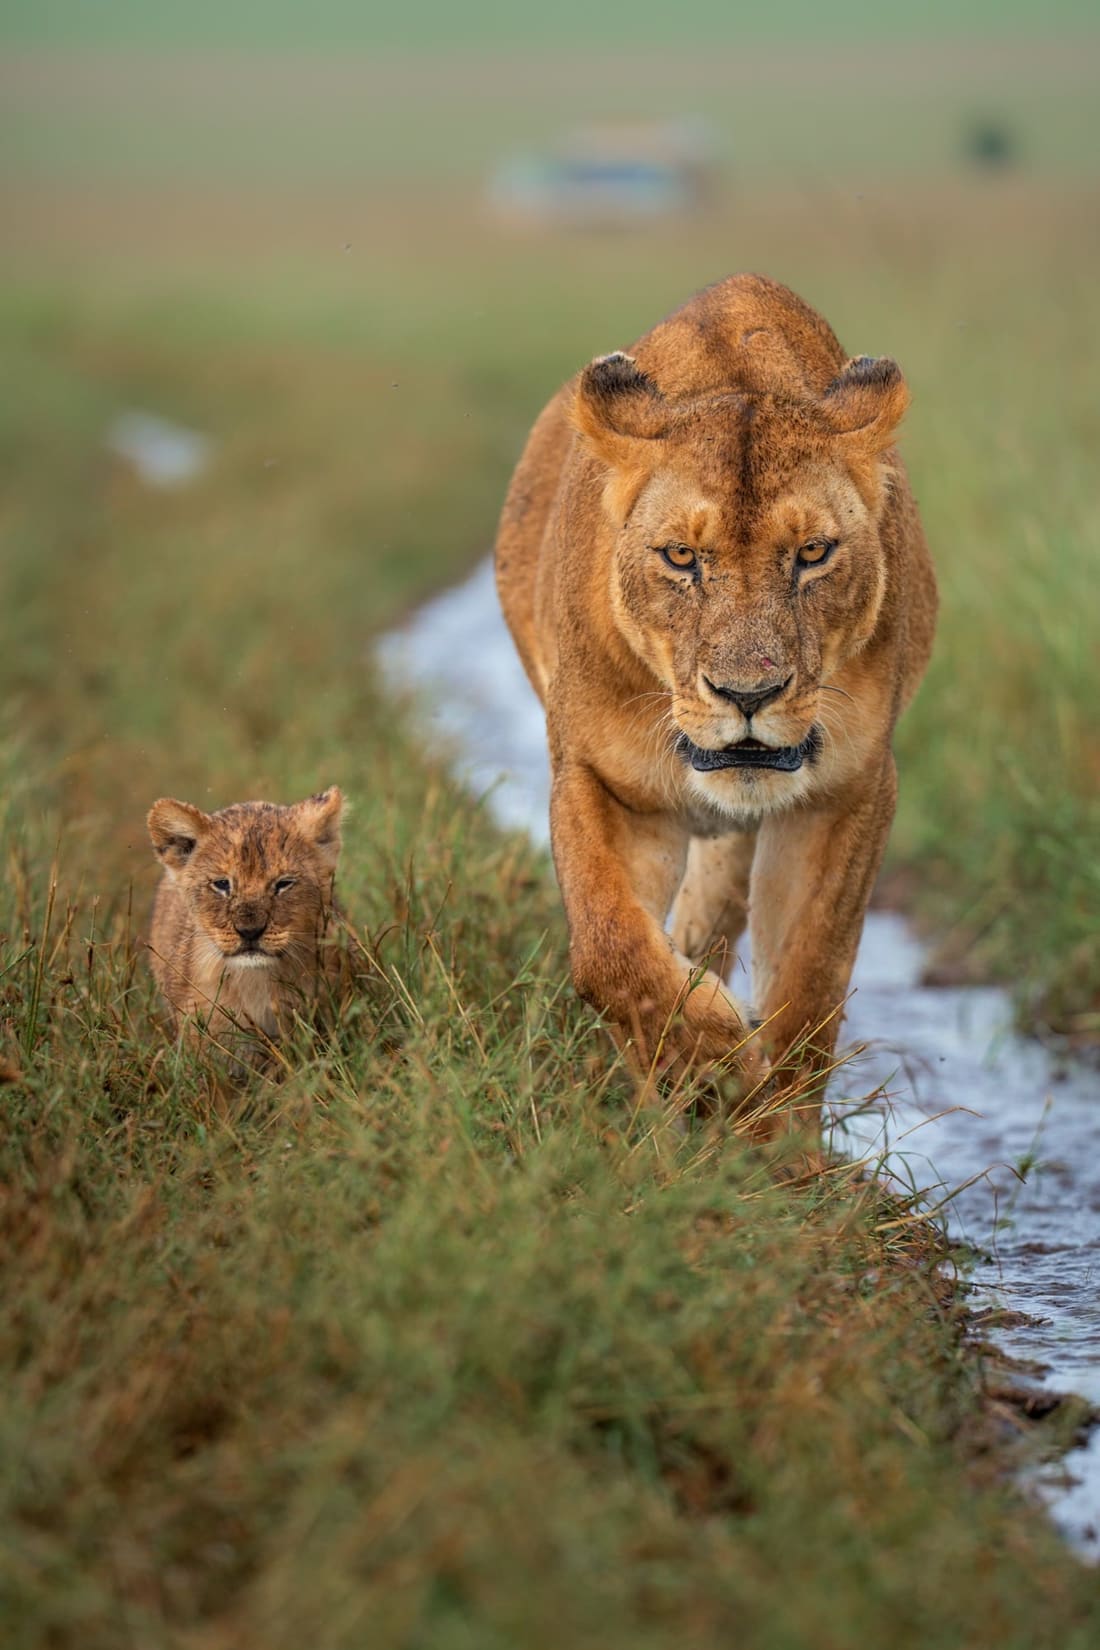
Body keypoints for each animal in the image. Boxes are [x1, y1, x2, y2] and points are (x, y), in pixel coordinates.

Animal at [495, 273, 936, 1111]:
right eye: (680, 557)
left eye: (813, 553)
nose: (748, 694)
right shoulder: (601, 781)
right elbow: (610, 950)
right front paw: (711, 1063)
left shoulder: (850, 792)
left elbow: (808, 985)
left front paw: (768, 1129)